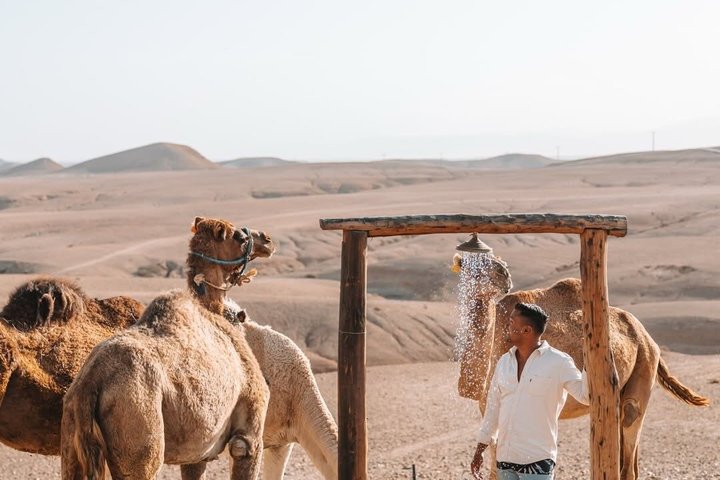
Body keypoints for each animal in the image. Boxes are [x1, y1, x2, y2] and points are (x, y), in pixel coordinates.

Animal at [61, 219, 274, 479]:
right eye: (239, 238)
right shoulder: (248, 435)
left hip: (70, 435)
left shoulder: (197, 452)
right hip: (139, 429)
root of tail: (90, 384)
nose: (266, 239)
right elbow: (244, 447)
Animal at [452, 253, 709, 480]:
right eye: (473, 266)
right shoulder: (491, 405)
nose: (503, 273)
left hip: (644, 366)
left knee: (630, 426)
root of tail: (646, 336)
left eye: (496, 263)